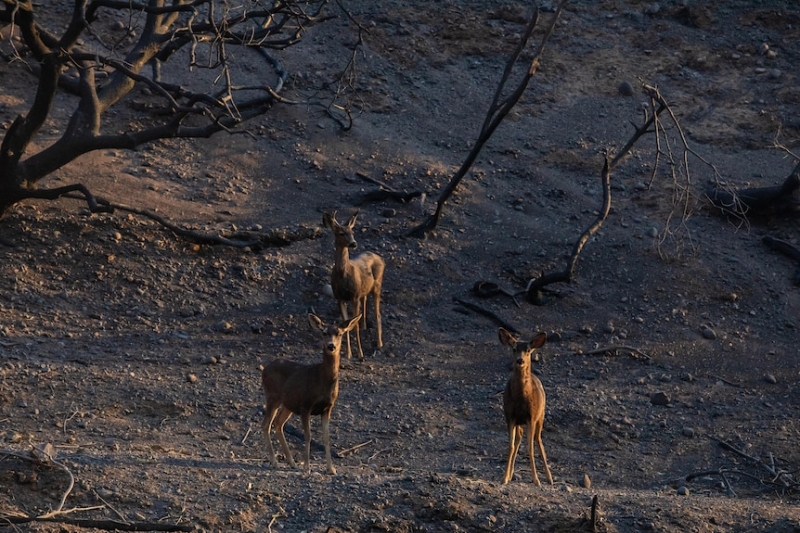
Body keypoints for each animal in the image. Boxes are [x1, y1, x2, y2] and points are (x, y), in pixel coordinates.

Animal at [260, 312, 360, 474]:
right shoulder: (306, 405)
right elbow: (308, 436)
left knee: (278, 423)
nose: (331, 345)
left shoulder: (327, 408)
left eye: (339, 333)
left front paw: (331, 468)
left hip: (288, 403)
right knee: (266, 424)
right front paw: (307, 467)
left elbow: (326, 438)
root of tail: (265, 369)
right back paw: (275, 462)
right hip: (272, 396)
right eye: (324, 332)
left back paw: (292, 462)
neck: (323, 380)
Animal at [324, 211, 388, 358]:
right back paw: (365, 326)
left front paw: (360, 353)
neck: (343, 274)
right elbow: (345, 324)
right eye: (341, 233)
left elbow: (354, 325)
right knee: (365, 303)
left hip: (377, 286)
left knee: (378, 313)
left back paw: (379, 343)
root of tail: (381, 258)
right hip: (364, 290)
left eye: (352, 232)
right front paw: (348, 354)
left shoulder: (354, 296)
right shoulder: (340, 298)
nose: (353, 243)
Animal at [504, 326, 552, 484]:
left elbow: (530, 448)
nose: (520, 360)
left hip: (541, 415)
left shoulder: (531, 417)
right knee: (519, 437)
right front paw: (504, 477)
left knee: (538, 440)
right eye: (513, 349)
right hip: (520, 422)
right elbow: (511, 446)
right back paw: (510, 474)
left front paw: (536, 479)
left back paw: (549, 478)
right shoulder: (510, 417)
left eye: (529, 350)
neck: (521, 399)